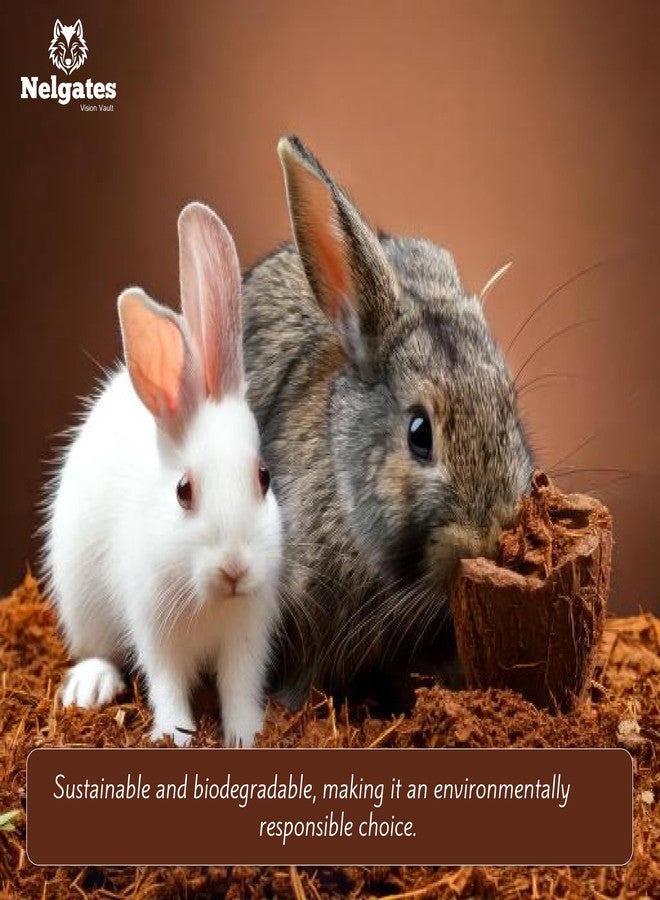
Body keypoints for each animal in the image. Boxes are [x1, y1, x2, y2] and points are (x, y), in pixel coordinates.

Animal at [44, 202, 283, 747]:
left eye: (263, 477)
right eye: (183, 491)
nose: (235, 568)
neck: (209, 597)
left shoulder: (246, 635)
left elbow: (239, 688)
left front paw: (246, 735)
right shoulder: (155, 629)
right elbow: (167, 683)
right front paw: (175, 736)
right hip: (81, 601)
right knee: (100, 650)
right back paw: (91, 685)